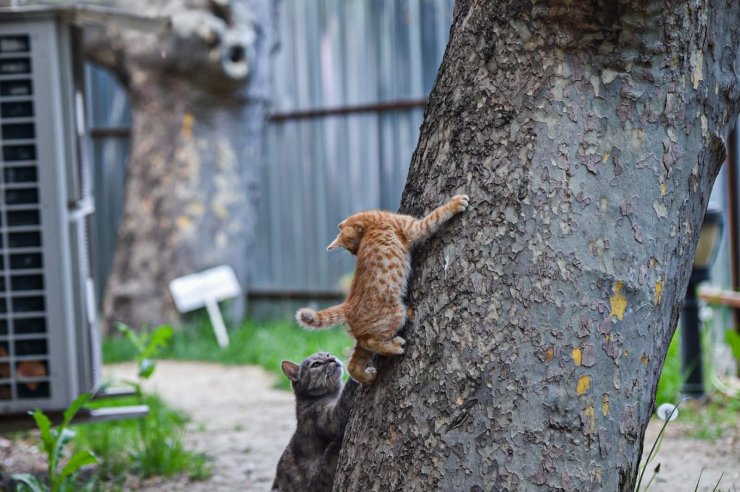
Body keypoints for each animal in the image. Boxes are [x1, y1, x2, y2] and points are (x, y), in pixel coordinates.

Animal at [294, 195, 468, 384]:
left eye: (354, 249)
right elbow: (435, 216)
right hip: (395, 314)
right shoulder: (413, 228)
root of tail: (348, 305)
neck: (375, 222)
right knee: (370, 342)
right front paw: (455, 203)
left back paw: (368, 377)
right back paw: (395, 346)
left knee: (353, 363)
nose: (355, 254)